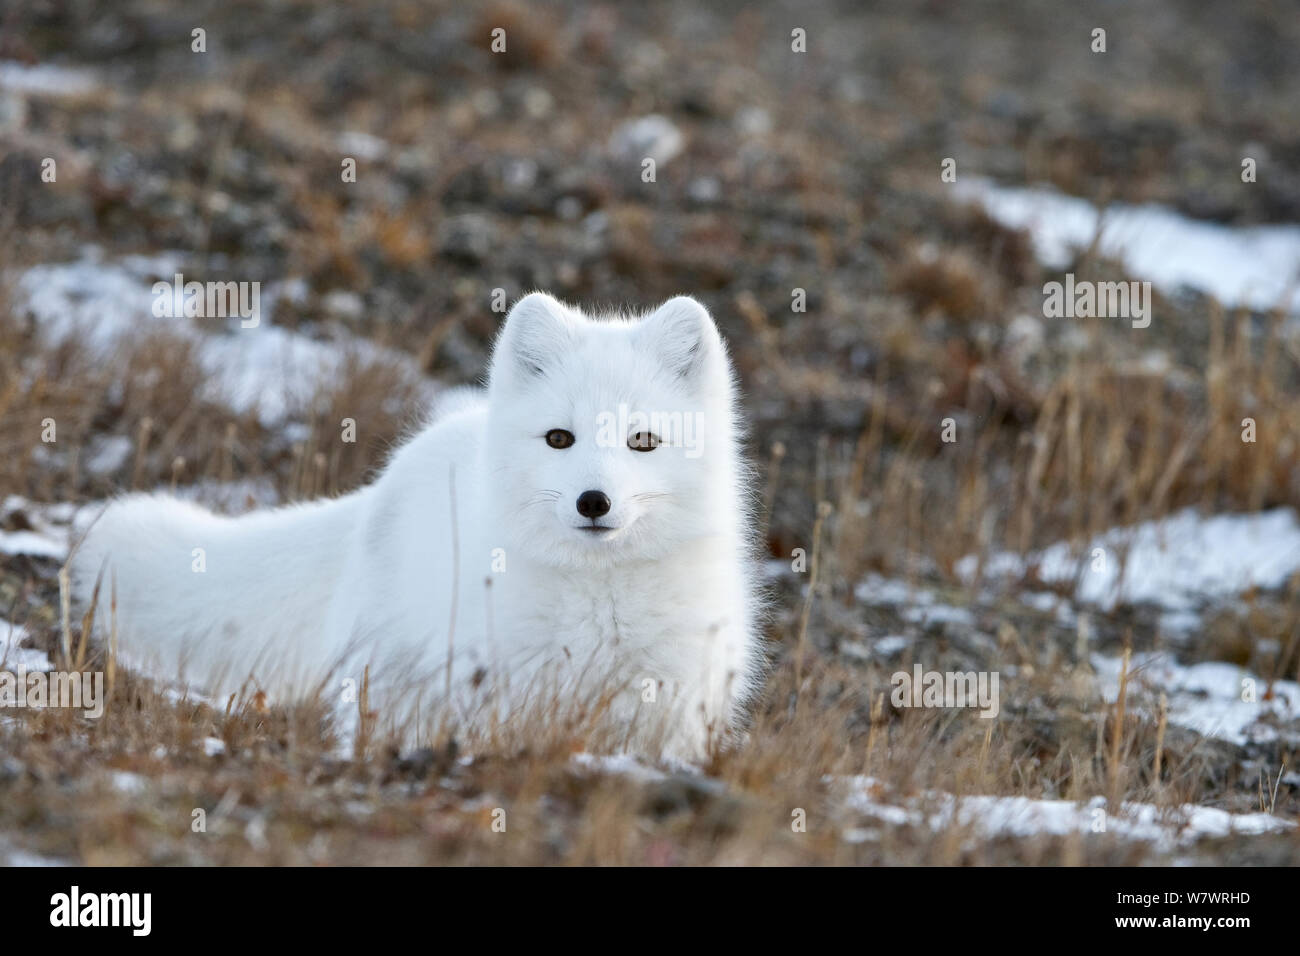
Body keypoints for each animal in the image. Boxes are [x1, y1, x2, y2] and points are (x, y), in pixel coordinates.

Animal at [71, 295, 759, 759]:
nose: (594, 501)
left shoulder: (670, 706)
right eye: (559, 439)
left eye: (643, 440)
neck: (599, 602)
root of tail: (380, 489)